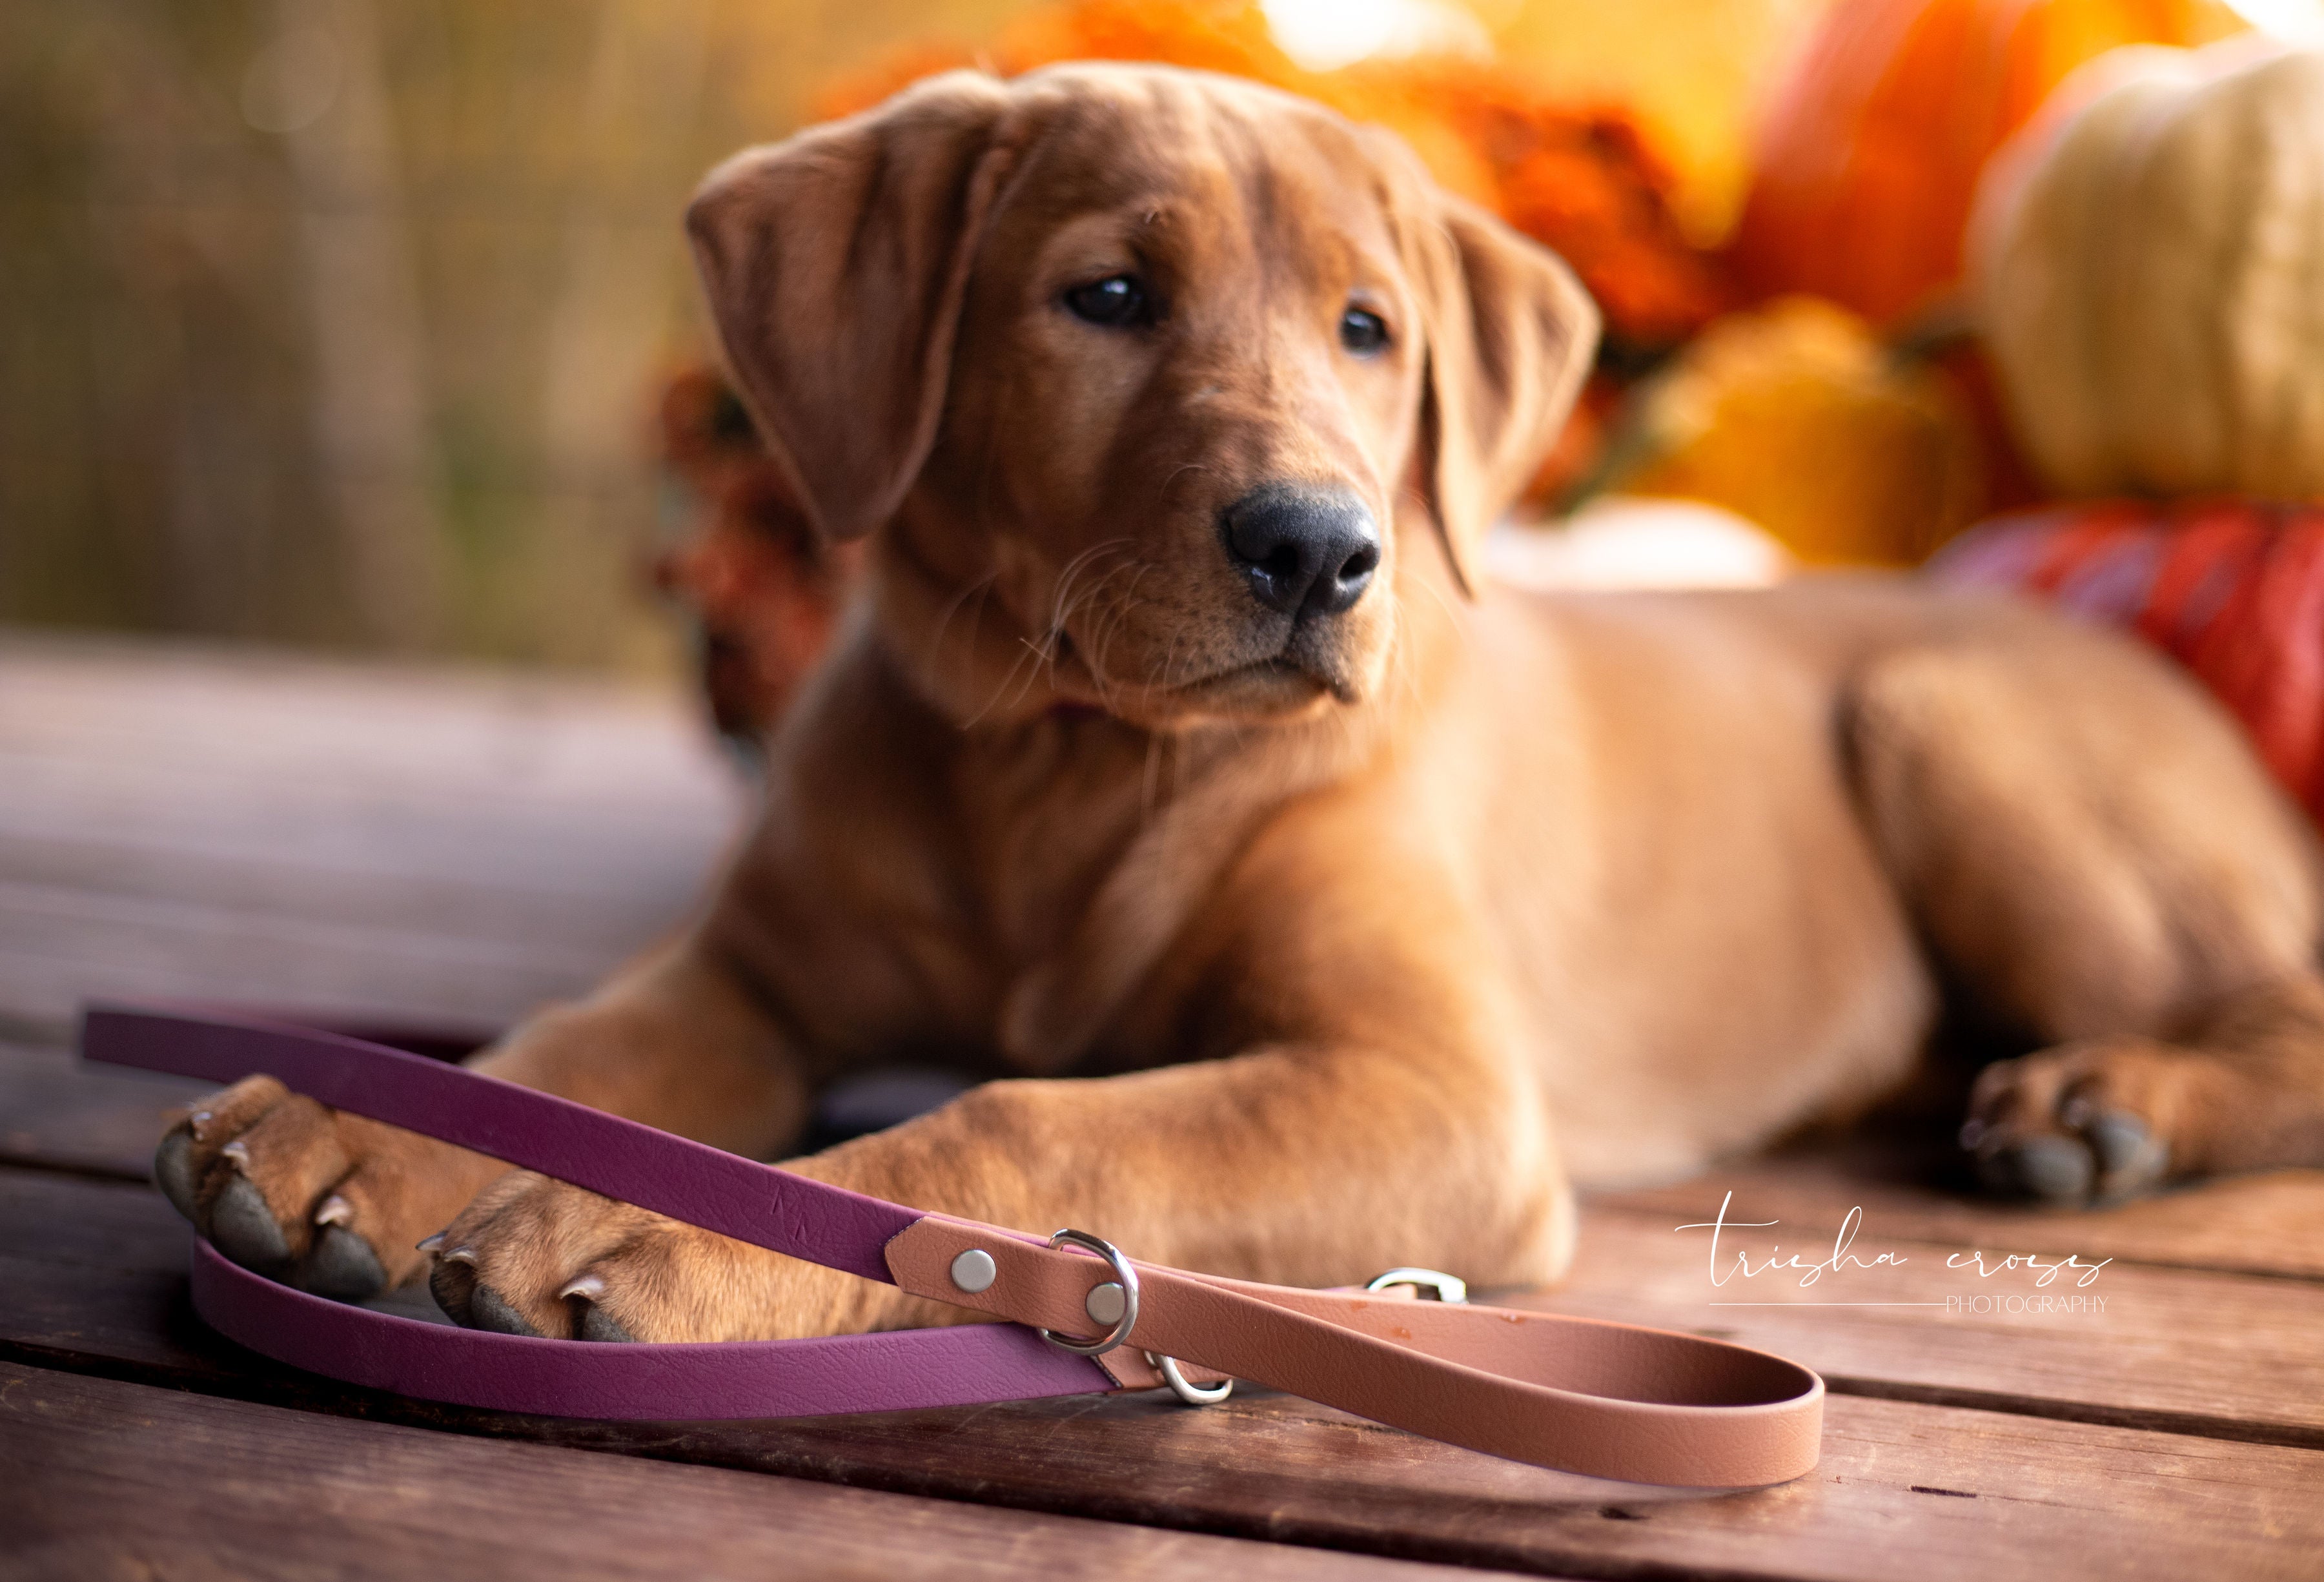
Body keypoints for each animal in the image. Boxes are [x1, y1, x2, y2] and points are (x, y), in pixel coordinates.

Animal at [154, 65, 2314, 1347]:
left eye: (1372, 331)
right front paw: (341, 1122)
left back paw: (2108, 1107)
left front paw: (682, 1243)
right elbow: (565, 1047)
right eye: (1108, 297)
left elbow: (1013, 1127)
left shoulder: (1435, 1093)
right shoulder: (751, 981)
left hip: (1940, 715)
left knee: (2283, 1009)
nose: (1319, 550)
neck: (1067, 760)